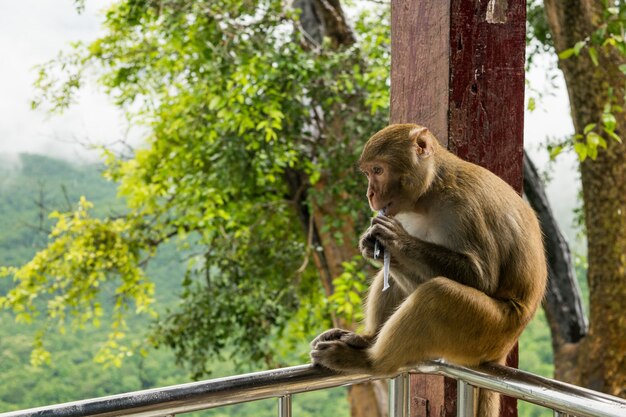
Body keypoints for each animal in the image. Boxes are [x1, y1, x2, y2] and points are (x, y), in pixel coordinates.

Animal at [310, 123, 544, 416]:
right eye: (368, 173)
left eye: (378, 170)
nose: (370, 194)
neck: (430, 193)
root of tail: (503, 348)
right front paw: (372, 243)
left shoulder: (464, 206)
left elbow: (483, 278)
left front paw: (395, 239)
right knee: (401, 275)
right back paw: (368, 338)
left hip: (491, 331)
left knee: (438, 293)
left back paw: (371, 362)